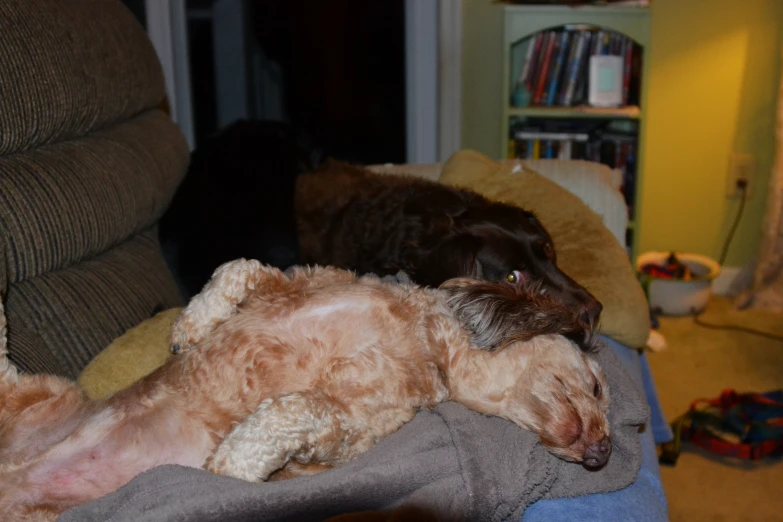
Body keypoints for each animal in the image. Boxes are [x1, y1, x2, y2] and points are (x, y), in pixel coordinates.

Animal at [0, 262, 612, 516]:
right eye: (600, 384)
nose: (605, 452)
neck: (426, 338)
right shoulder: (291, 281)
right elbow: (237, 267)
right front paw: (191, 329)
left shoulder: (348, 424)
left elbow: (286, 413)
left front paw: (227, 466)